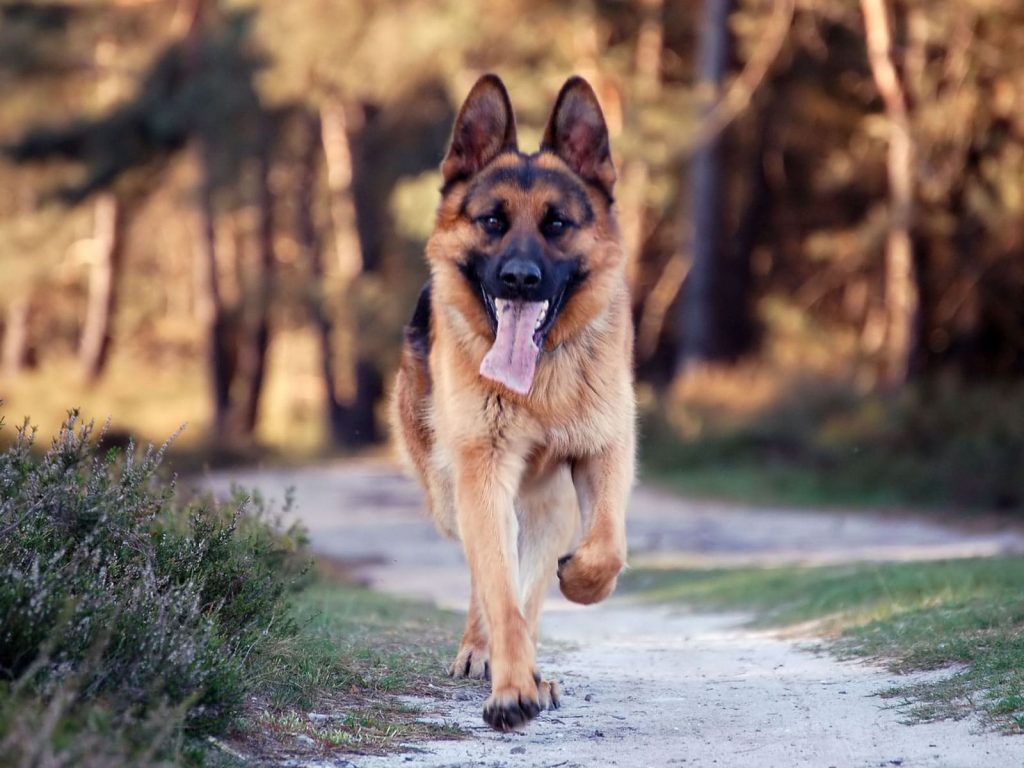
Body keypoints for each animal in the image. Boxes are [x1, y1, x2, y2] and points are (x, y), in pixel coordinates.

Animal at [391, 73, 630, 733]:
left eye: (557, 224)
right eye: (493, 221)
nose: (520, 279)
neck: (540, 385)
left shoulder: (606, 452)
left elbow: (607, 548)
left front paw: (582, 583)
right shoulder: (483, 474)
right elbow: (498, 589)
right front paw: (511, 688)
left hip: (548, 509)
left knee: (532, 581)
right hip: (454, 494)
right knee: (486, 577)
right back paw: (486, 654)